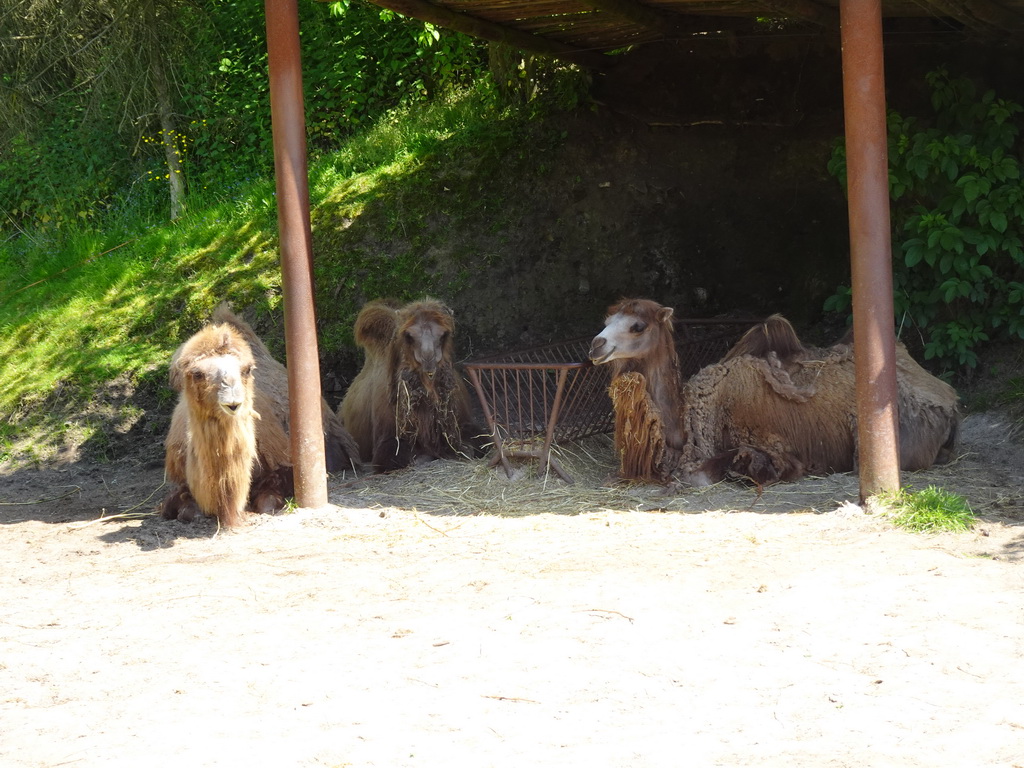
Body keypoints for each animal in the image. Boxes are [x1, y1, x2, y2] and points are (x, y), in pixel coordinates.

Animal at [589, 299, 962, 487]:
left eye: (638, 325)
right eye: (606, 320)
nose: (596, 345)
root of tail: (951, 401)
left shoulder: (773, 446)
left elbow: (704, 473)